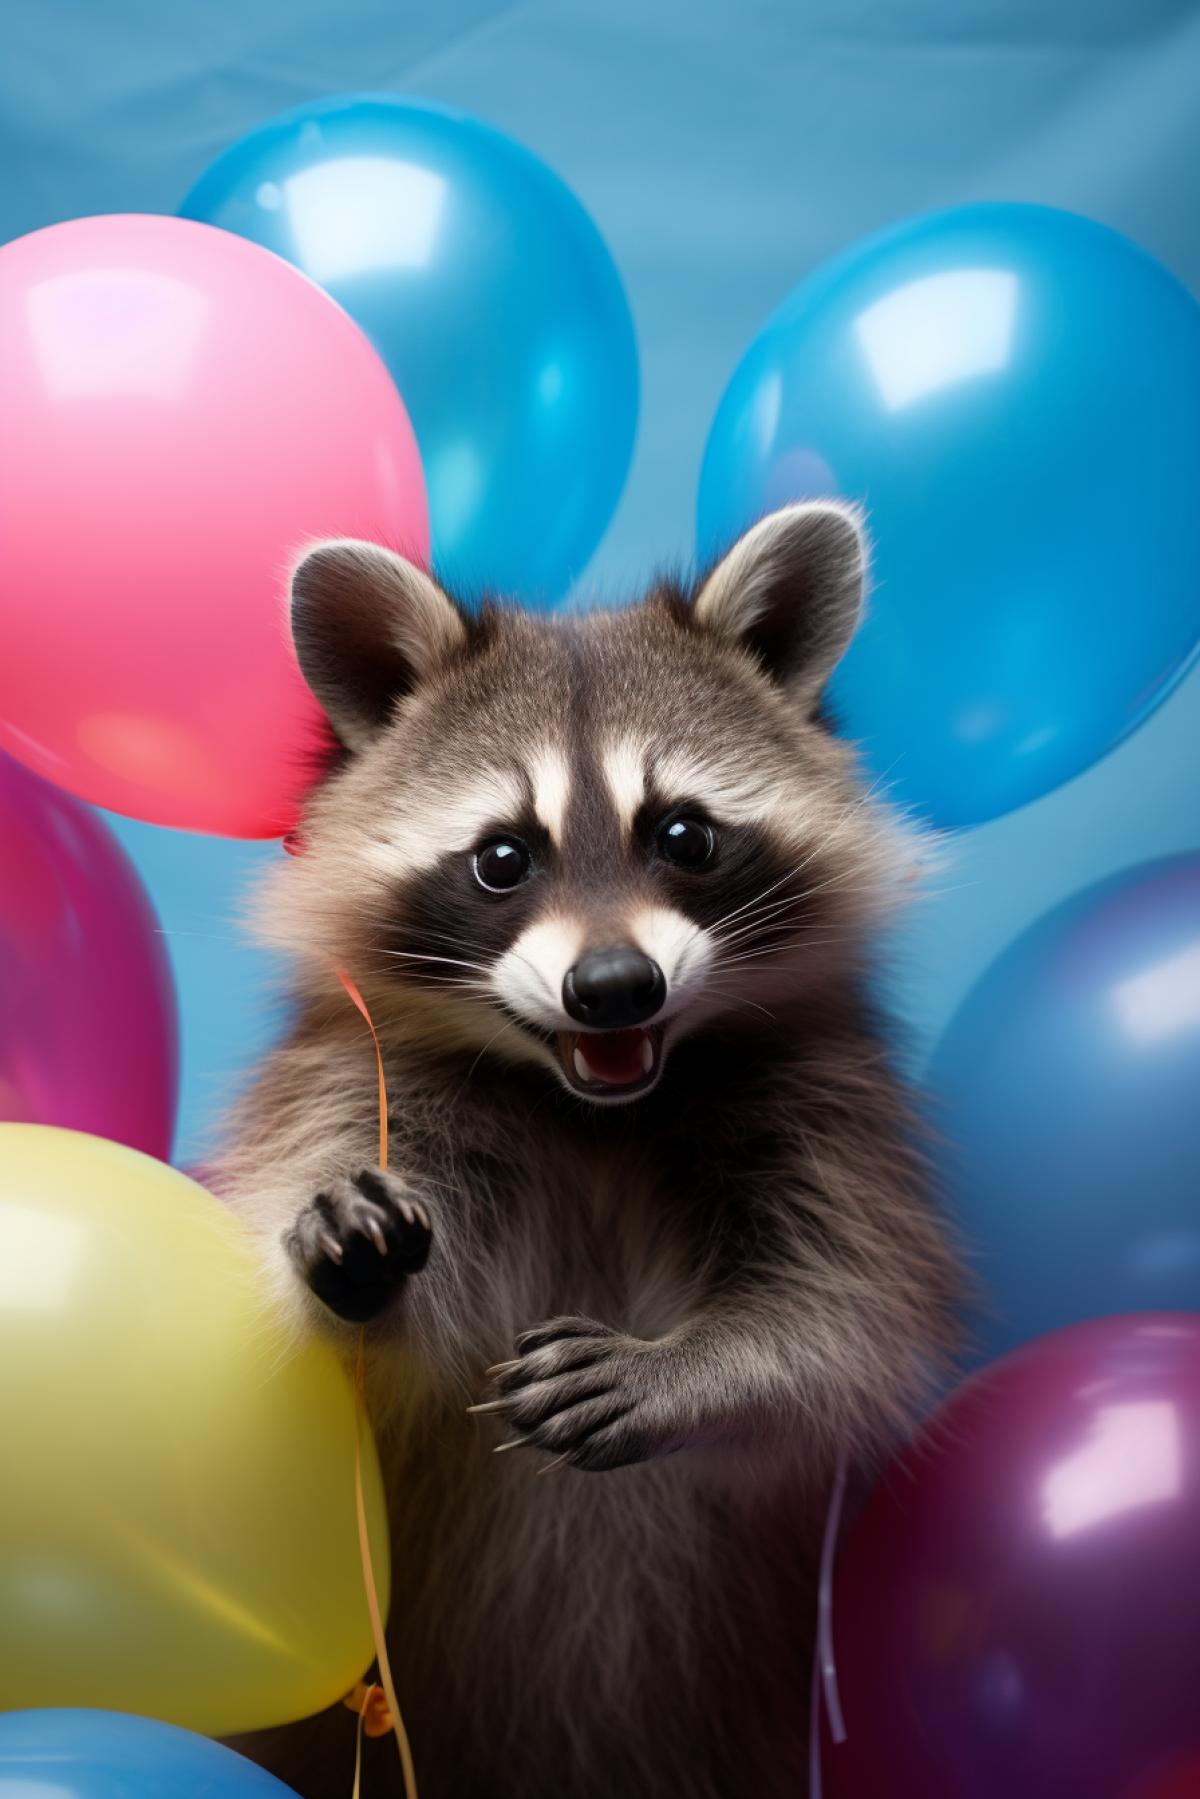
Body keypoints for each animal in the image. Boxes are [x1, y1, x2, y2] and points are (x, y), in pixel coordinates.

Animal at [216, 502, 962, 1799]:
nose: (615, 987)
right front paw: (343, 1260)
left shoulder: (829, 1111)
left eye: (685, 834)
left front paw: (707, 1365)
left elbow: (843, 1318)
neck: (595, 1106)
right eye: (502, 857)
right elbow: (350, 1354)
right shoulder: (353, 1088)